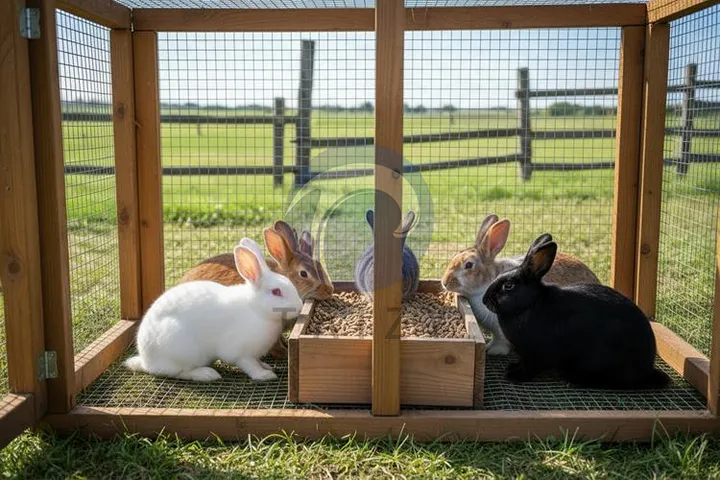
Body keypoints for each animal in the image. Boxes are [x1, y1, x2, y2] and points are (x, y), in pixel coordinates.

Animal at [124, 238, 303, 382]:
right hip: (182, 349)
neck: (257, 309)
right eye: (276, 292)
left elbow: (258, 361)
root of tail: (147, 361)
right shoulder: (240, 353)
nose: (300, 306)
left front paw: (266, 366)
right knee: (180, 372)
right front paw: (264, 375)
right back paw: (207, 374)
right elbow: (250, 365)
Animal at [482, 234, 670, 389]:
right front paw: (512, 368)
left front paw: (515, 376)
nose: (485, 300)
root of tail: (646, 368)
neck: (530, 304)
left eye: (508, 285)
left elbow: (531, 368)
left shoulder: (537, 355)